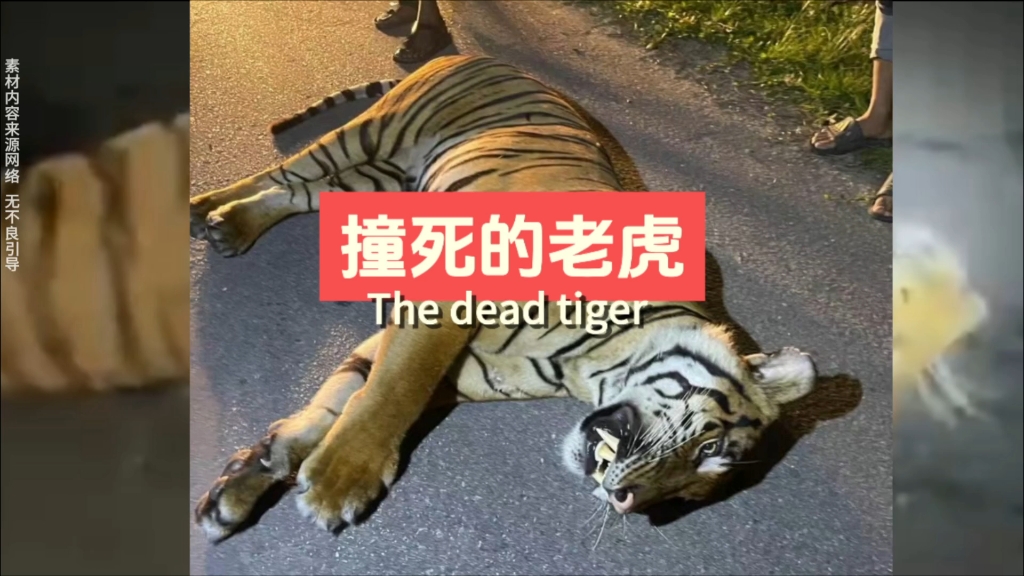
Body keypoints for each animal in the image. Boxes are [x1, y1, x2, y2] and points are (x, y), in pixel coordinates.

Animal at [190, 54, 820, 542]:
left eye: (686, 496)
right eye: (709, 445)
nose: (629, 502)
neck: (584, 366)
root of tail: (481, 56)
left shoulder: (457, 375)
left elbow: (339, 404)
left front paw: (242, 487)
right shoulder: (443, 306)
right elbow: (392, 392)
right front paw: (339, 483)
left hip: (379, 179)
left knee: (299, 191)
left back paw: (229, 225)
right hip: (372, 134)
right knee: (284, 170)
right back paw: (205, 209)